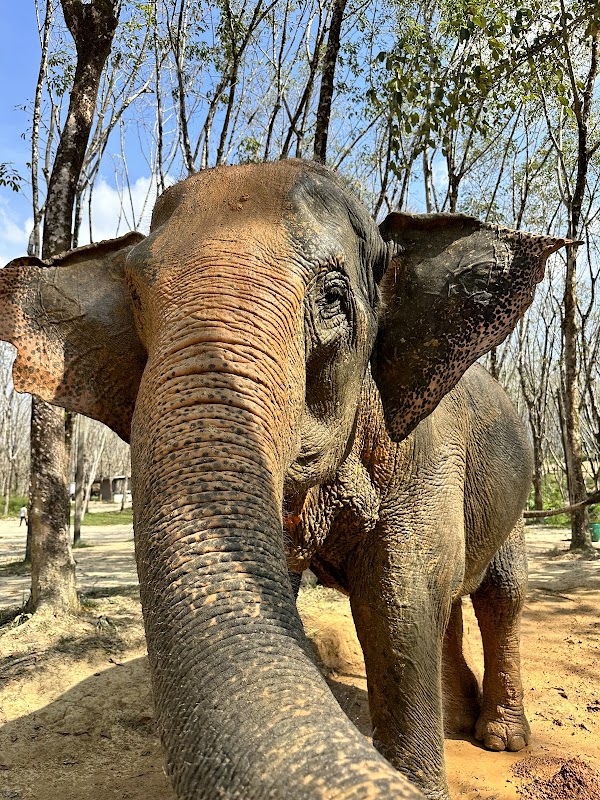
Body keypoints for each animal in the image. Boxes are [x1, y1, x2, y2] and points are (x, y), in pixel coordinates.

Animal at [0, 159, 566, 800]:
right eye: (137, 298)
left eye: (335, 297)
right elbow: (388, 595)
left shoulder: (425, 451)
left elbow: (398, 597)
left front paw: (419, 783)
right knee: (450, 603)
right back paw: (457, 720)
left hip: (516, 497)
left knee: (501, 594)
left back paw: (501, 738)